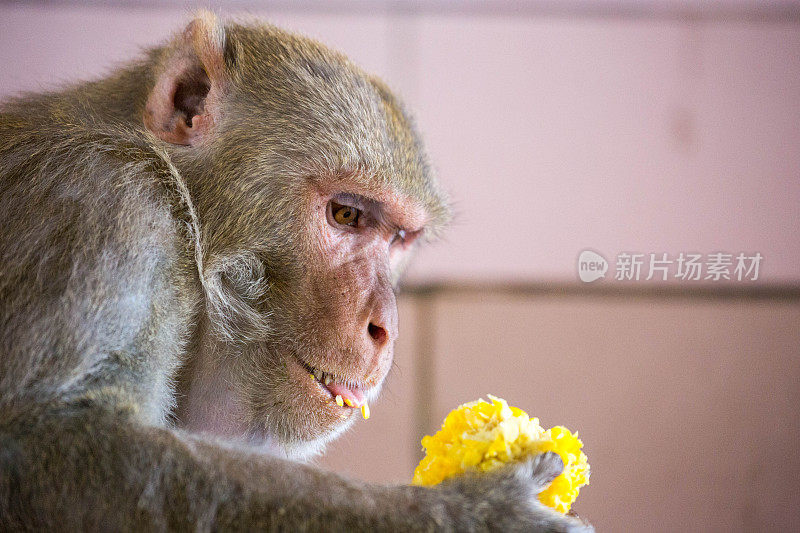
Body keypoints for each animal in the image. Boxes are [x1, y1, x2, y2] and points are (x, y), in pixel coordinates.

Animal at [0, 12, 588, 532]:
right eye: (346, 215)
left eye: (399, 239)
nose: (386, 328)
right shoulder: (105, 200)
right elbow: (52, 440)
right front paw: (470, 514)